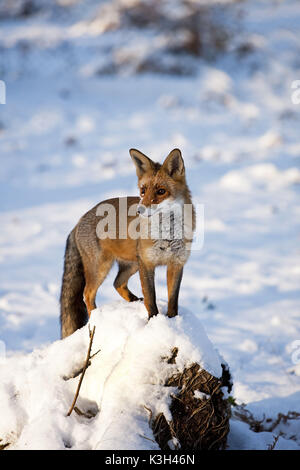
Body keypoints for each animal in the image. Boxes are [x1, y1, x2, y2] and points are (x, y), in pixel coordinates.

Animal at [59, 149, 196, 336]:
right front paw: (153, 321)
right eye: (143, 191)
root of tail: (79, 221)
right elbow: (151, 299)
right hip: (102, 267)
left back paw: (133, 301)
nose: (140, 210)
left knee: (117, 283)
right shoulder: (147, 264)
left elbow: (173, 300)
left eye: (161, 191)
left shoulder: (176, 263)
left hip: (131, 265)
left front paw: (173, 321)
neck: (167, 235)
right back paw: (96, 319)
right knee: (87, 294)